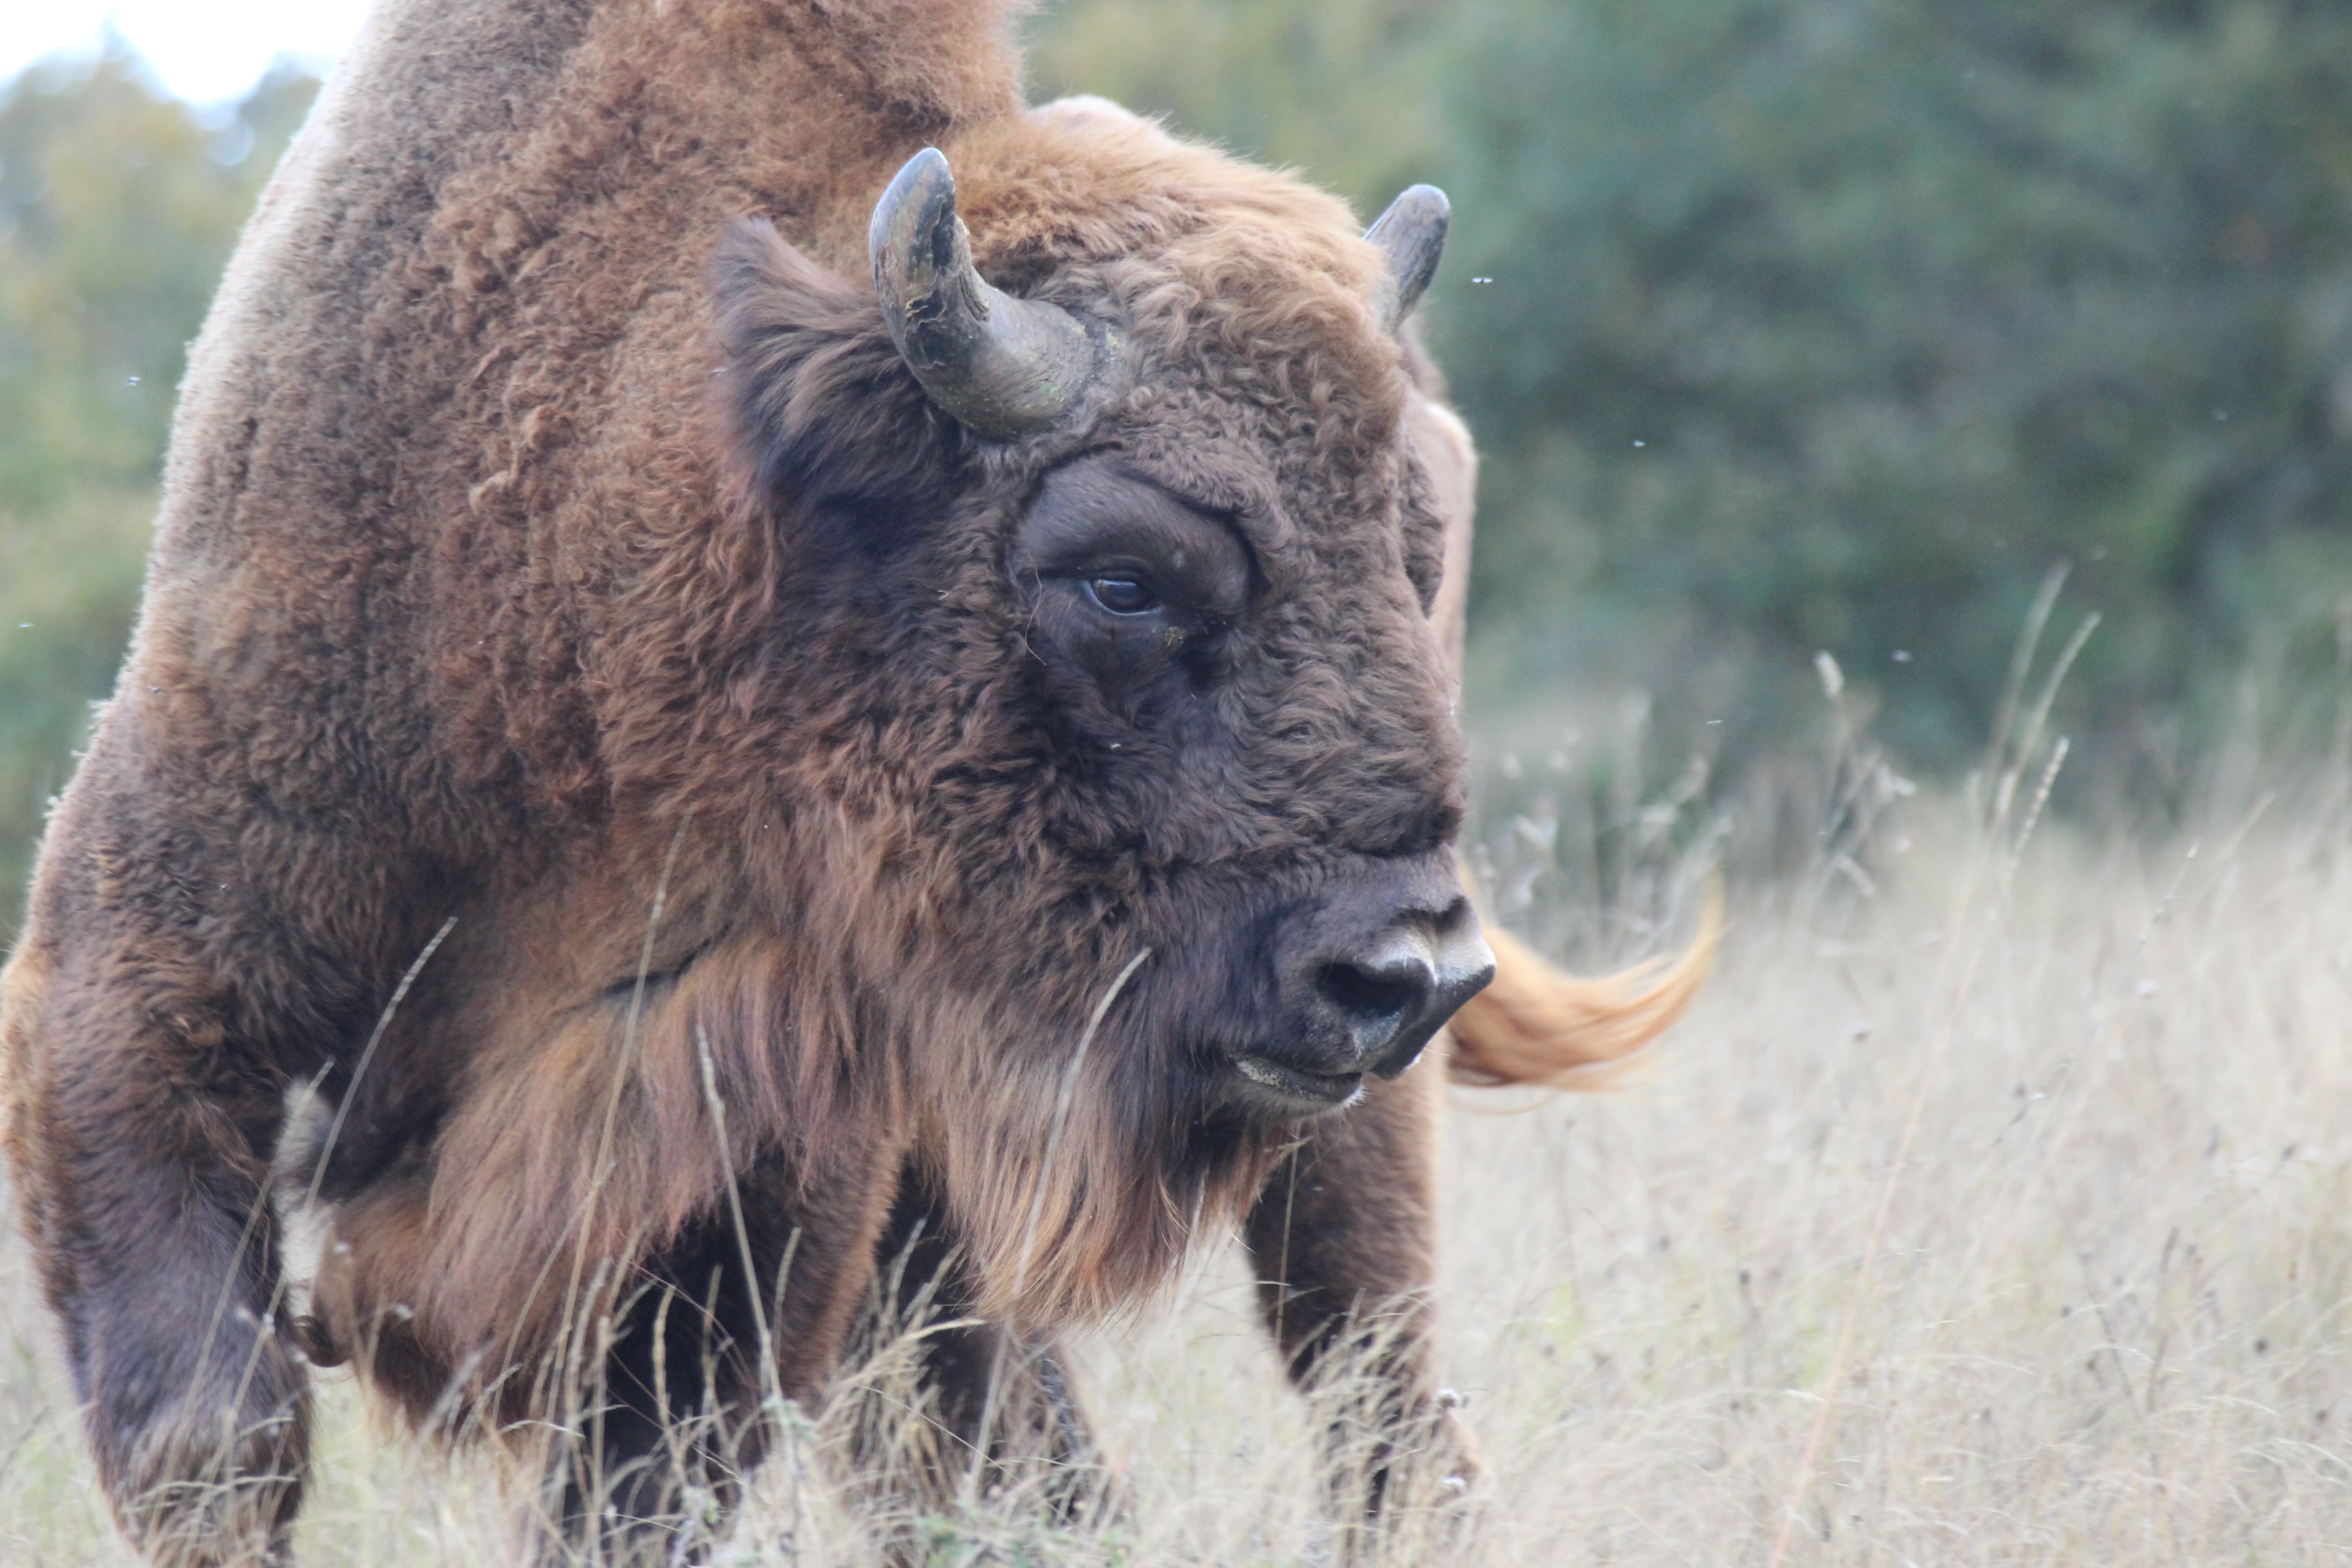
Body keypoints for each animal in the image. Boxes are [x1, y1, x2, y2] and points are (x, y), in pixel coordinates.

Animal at [0, 6, 1693, 1561]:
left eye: (1410, 562)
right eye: (1124, 578)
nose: (1410, 972)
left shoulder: (750, 1167)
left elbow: (649, 1474)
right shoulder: (136, 994)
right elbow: (211, 1436)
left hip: (1334, 1144)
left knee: (1370, 1387)